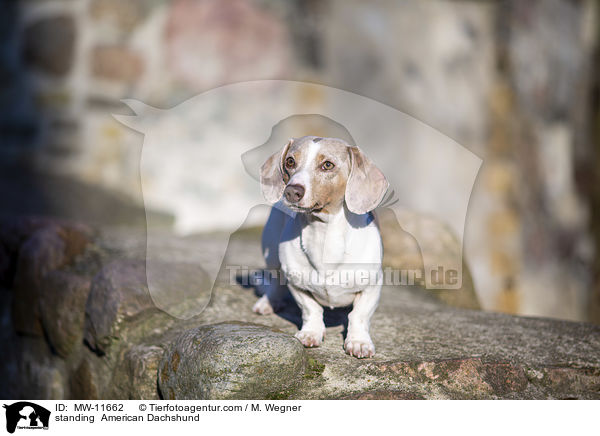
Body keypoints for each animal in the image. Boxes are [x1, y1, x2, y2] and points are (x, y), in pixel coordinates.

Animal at [253, 135, 390, 358]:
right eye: (290, 161)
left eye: (327, 165)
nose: (291, 191)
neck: (324, 232)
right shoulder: (298, 285)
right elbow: (311, 310)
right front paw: (311, 333)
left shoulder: (372, 286)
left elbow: (358, 315)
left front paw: (358, 342)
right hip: (271, 253)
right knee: (275, 281)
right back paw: (268, 302)